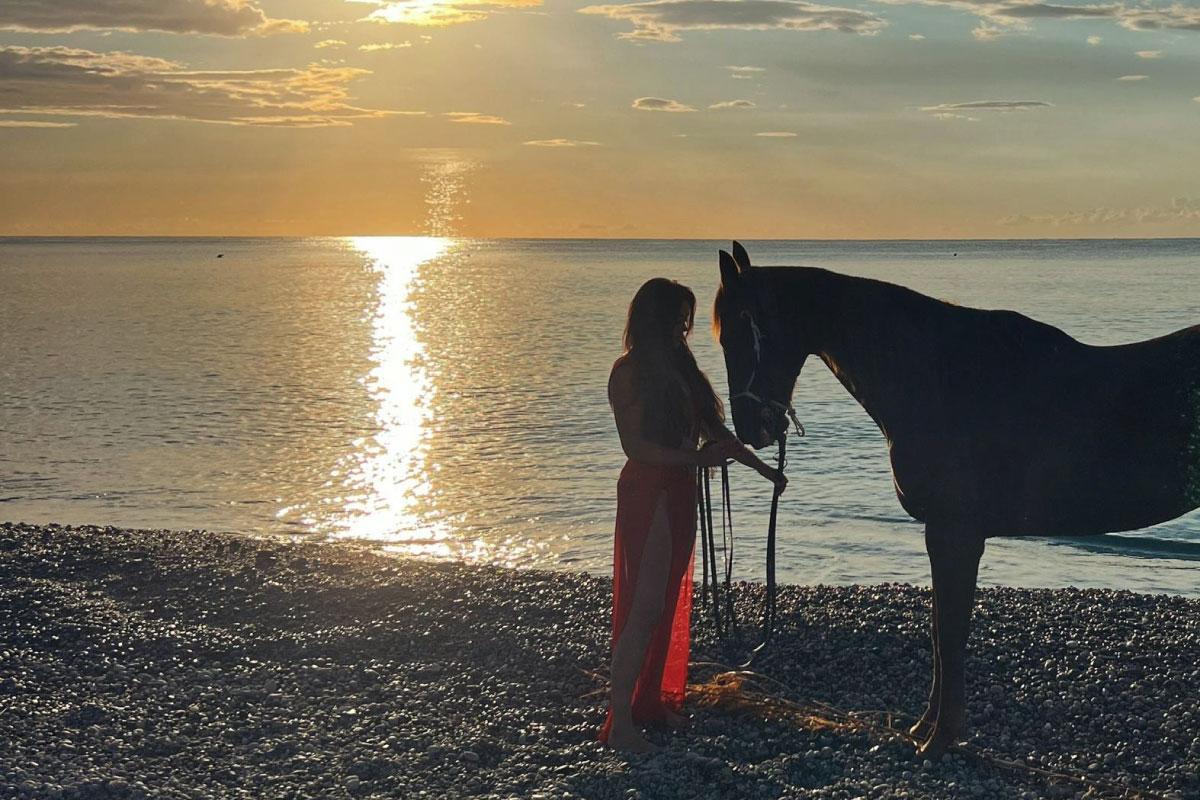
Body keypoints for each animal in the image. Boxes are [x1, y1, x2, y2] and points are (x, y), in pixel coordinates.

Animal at [712, 241, 1200, 759]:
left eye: (738, 333)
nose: (751, 430)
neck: (939, 377)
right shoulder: (945, 535)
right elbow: (939, 629)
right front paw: (926, 727)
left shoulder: (954, 534)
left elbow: (950, 633)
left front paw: (941, 736)